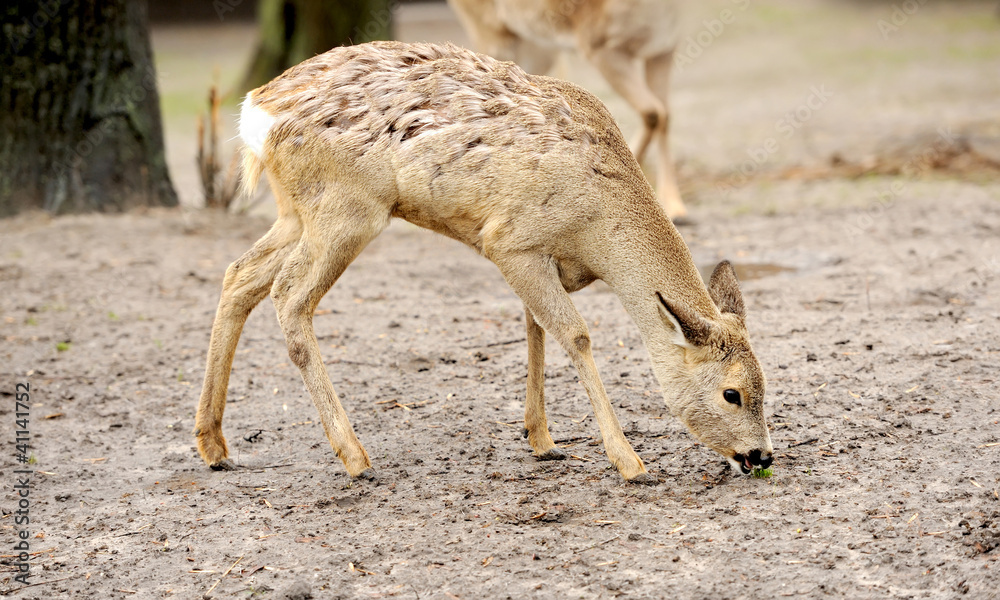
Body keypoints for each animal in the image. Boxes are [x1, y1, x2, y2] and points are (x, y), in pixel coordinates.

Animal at [195, 41, 772, 482]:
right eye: (733, 393)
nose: (762, 455)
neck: (597, 231)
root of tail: (255, 112)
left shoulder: (540, 260)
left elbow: (535, 327)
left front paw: (543, 439)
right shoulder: (508, 240)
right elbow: (575, 334)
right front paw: (629, 462)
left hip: (297, 210)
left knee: (239, 275)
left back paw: (214, 445)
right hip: (347, 208)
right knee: (289, 296)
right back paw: (355, 458)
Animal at [448, 0, 688, 220]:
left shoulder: (663, 50)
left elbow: (664, 115)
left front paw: (674, 207)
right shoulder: (599, 48)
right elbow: (653, 112)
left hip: (537, 46)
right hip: (491, 32)